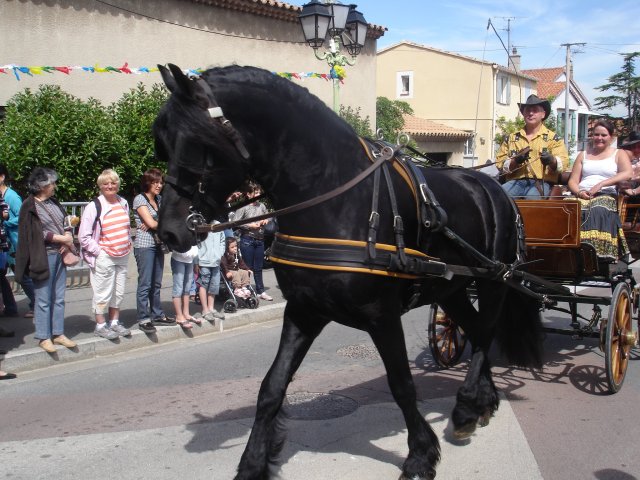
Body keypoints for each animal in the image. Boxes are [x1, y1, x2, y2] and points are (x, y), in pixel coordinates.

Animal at [152, 64, 544, 480]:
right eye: (162, 144)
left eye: (198, 144)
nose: (169, 232)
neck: (336, 197)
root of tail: (494, 186)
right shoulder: (304, 312)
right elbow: (271, 387)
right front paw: (254, 463)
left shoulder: (382, 316)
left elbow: (402, 384)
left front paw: (420, 456)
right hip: (451, 289)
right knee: (475, 329)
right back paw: (480, 403)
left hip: (494, 281)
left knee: (485, 334)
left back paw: (469, 405)